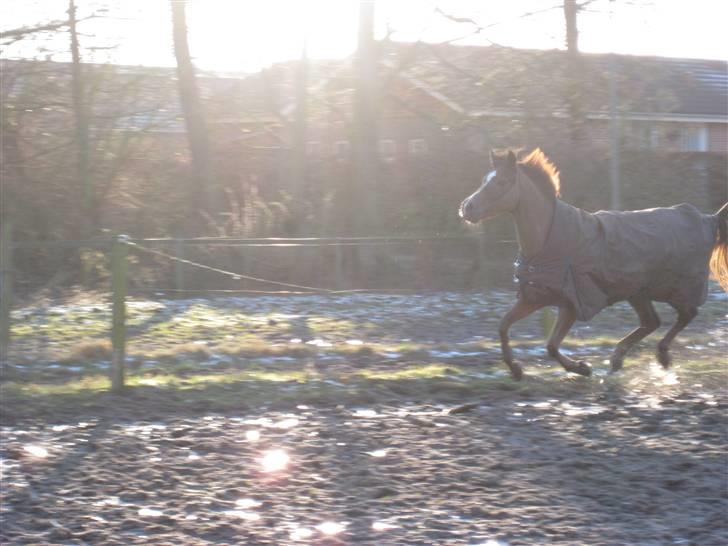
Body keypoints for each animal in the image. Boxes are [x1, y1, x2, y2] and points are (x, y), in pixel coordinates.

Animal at [459, 148, 728, 380]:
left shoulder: (571, 303)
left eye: (502, 182)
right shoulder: (535, 298)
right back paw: (618, 359)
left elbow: (551, 346)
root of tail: (708, 219)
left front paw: (582, 368)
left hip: (671, 288)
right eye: (484, 180)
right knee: (652, 322)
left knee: (686, 314)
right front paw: (516, 370)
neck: (547, 240)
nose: (466, 207)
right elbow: (505, 327)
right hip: (637, 292)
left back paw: (660, 356)